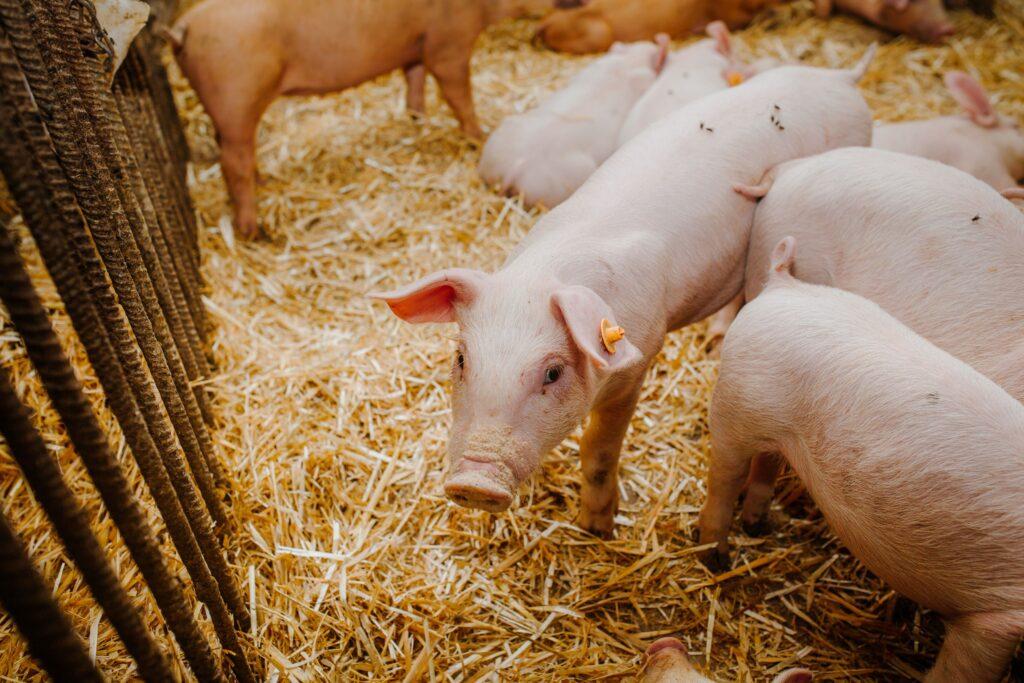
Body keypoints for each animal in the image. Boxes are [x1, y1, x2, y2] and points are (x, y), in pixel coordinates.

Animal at [172, 0, 581, 240]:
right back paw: (252, 231)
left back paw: (265, 182)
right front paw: (477, 135)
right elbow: (457, 93)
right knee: (234, 163)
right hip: (237, 100)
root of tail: (184, 27)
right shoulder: (449, 42)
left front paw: (417, 119)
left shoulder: (416, 45)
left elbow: (414, 80)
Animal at [700, 236, 1024, 683]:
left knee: (765, 465)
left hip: (772, 429)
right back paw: (715, 555)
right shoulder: (998, 614)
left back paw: (758, 524)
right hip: (735, 405)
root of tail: (783, 284)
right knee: (724, 474)